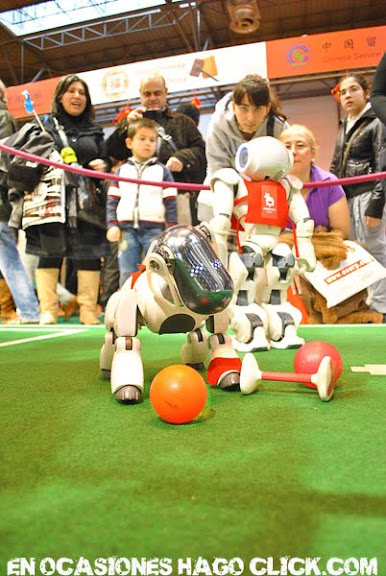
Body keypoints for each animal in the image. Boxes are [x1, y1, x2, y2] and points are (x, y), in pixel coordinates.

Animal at [101, 223, 243, 402]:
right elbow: (128, 342)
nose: (220, 290)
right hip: (115, 308)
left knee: (198, 336)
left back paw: (195, 362)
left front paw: (231, 377)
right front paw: (127, 391)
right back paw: (106, 369)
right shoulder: (130, 301)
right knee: (112, 338)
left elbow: (220, 336)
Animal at [207, 136, 316, 352]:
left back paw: (286, 336)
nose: (243, 152)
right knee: (249, 262)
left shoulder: (292, 185)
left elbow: (304, 222)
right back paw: (253, 338)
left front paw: (307, 259)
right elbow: (222, 221)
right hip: (252, 250)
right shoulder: (228, 179)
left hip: (276, 254)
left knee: (282, 264)